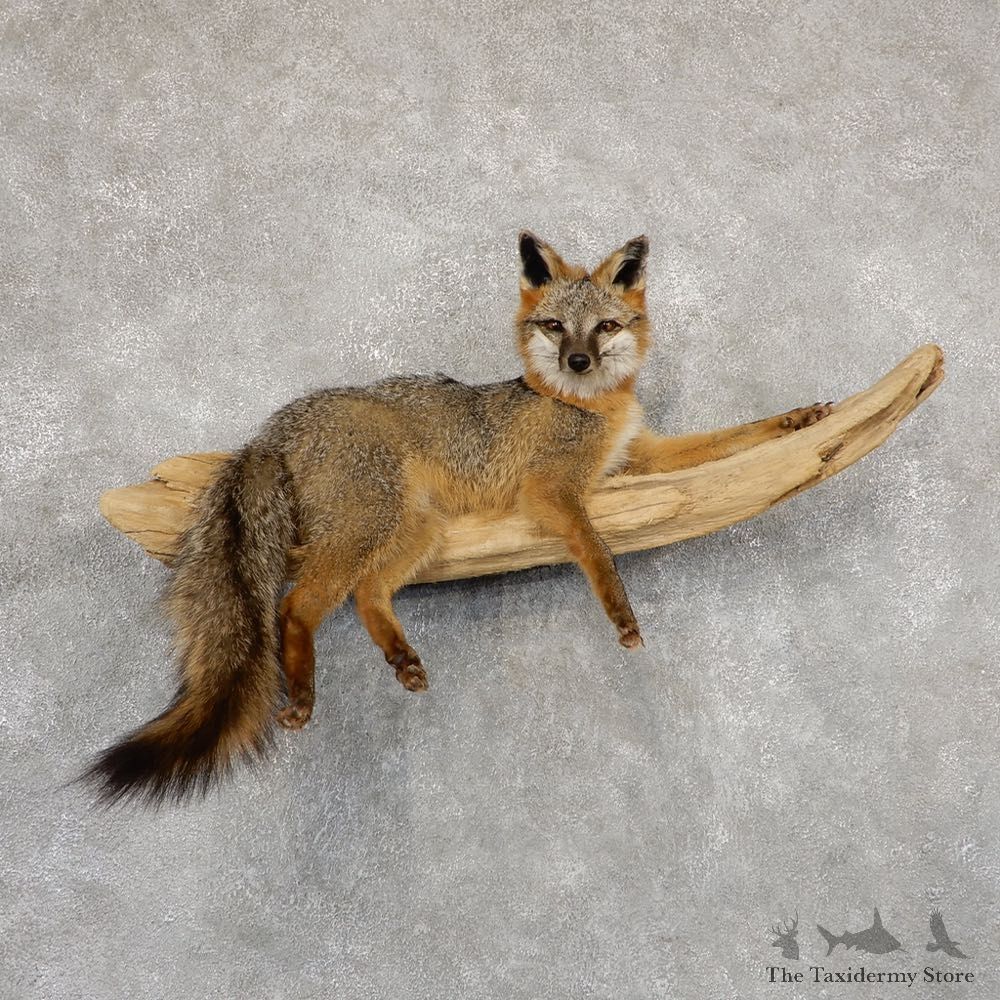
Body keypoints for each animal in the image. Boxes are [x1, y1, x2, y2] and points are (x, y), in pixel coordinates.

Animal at [84, 231, 832, 805]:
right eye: (555, 326)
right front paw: (621, 616)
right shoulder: (552, 493)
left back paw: (401, 660)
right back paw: (303, 695)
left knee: (366, 593)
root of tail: (273, 426)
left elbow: (733, 437)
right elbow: (596, 551)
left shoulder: (636, 461)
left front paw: (799, 421)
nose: (578, 360)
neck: (587, 407)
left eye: (605, 327)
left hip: (417, 531)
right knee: (297, 605)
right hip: (373, 525)